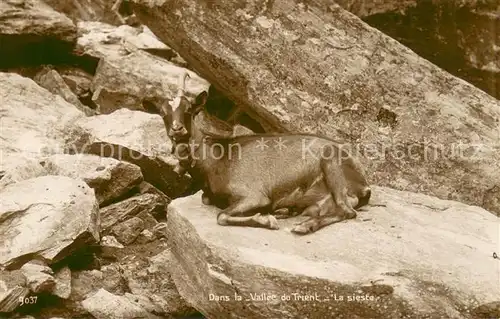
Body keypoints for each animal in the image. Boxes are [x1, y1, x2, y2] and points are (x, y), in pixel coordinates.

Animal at [161, 74, 372, 235]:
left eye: (189, 109)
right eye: (163, 112)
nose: (177, 129)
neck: (216, 159)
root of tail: (364, 185)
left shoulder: (253, 195)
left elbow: (221, 216)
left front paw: (266, 221)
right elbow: (207, 200)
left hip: (332, 165)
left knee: (347, 211)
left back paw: (303, 226)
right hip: (318, 202)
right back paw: (288, 211)